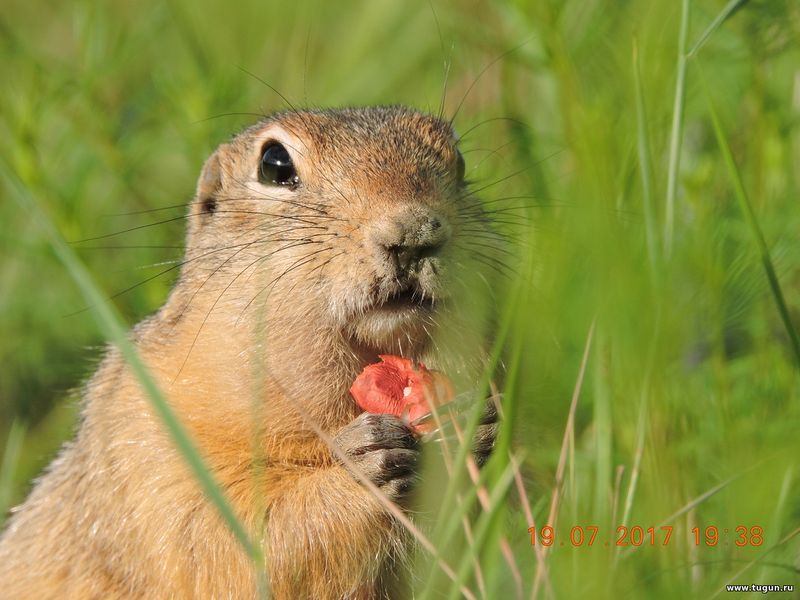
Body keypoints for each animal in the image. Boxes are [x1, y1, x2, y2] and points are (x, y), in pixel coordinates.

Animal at [0, 105, 496, 596]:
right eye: (274, 163)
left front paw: (475, 425)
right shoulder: (145, 432)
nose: (414, 232)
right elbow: (222, 545)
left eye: (460, 162)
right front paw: (362, 461)